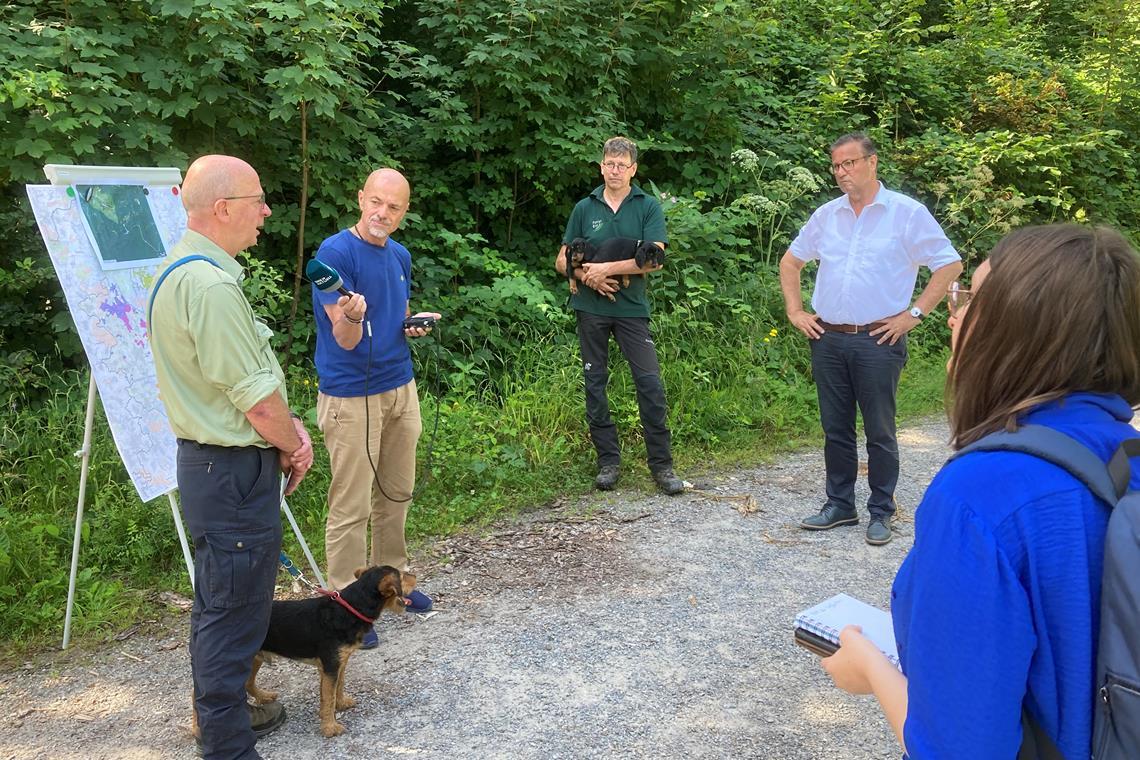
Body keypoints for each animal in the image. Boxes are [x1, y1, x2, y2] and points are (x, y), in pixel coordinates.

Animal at [247, 565, 417, 738]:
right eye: (402, 576)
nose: (415, 576)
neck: (350, 609)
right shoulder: (330, 666)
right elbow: (329, 697)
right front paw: (330, 727)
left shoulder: (339, 663)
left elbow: (338, 686)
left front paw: (340, 704)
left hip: (255, 659)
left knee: (248, 684)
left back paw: (264, 697)